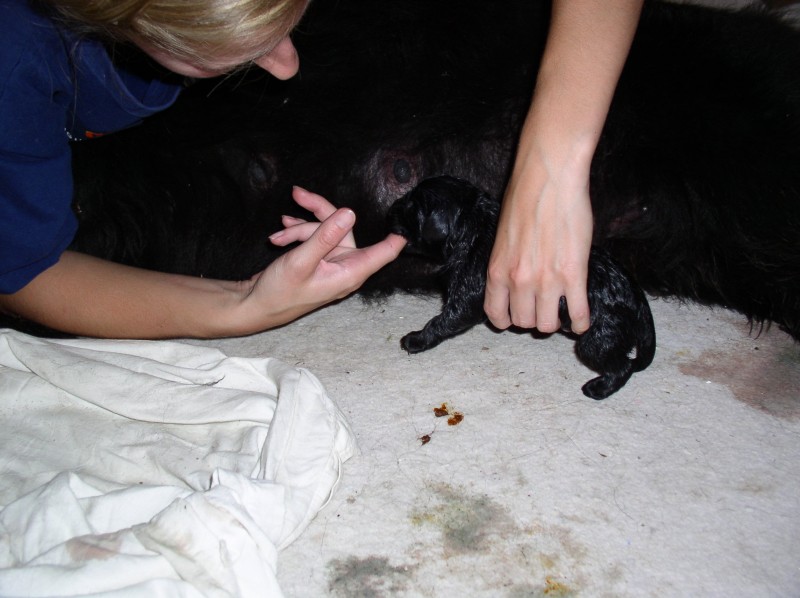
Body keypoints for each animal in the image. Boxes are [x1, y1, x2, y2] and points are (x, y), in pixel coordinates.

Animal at [388, 176, 656, 399]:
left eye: (411, 207)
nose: (389, 209)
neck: (474, 227)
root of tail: (636, 297)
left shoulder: (467, 293)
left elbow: (442, 320)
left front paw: (416, 339)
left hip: (597, 338)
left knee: (622, 366)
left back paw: (598, 389)